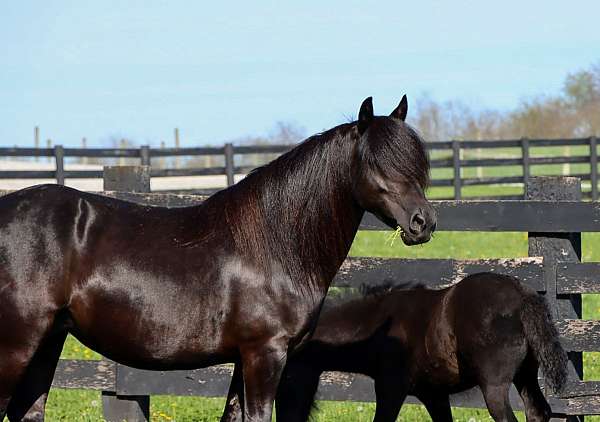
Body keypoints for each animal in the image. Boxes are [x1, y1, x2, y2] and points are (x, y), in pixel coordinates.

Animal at [0, 96, 434, 422]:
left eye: (415, 162)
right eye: (375, 162)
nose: (423, 222)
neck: (276, 246)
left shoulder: (245, 359)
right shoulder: (265, 353)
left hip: (48, 342)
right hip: (18, 344)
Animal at [276, 274, 568, 422]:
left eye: (286, 375)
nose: (286, 419)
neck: (379, 328)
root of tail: (523, 297)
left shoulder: (391, 388)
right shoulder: (433, 395)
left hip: (494, 386)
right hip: (525, 376)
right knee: (537, 412)